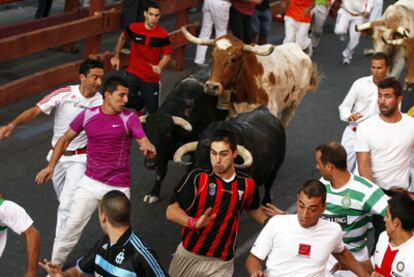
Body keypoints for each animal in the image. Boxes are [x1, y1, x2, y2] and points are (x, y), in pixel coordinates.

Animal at [142, 73, 228, 203]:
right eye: (146, 134)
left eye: (167, 135)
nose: (150, 164)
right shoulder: (162, 154)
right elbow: (160, 173)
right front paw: (153, 194)